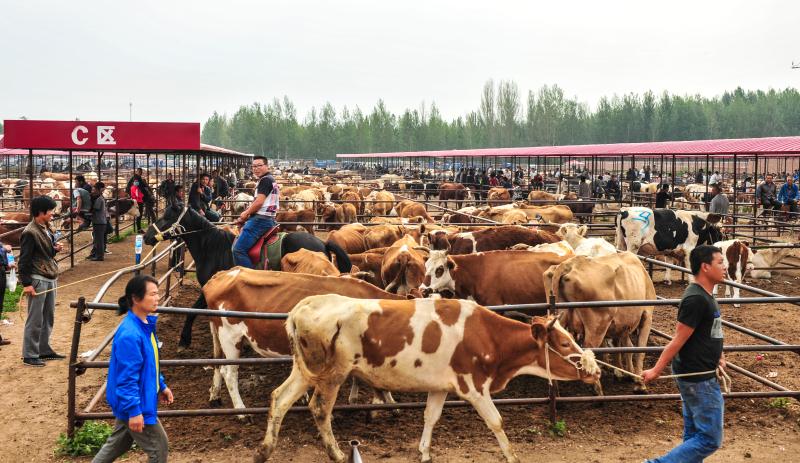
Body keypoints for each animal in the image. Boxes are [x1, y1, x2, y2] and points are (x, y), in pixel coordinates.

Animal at [143, 203, 354, 348]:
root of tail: (322, 243)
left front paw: (184, 340)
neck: (212, 248)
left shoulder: (210, 288)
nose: (146, 236)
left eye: (166, 216)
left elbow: (192, 312)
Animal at [256, 296, 600, 463]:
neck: (487, 335)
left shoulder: (440, 387)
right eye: (565, 343)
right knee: (319, 409)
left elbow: (430, 417)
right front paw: (512, 456)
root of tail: (302, 307)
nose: (594, 371)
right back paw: (337, 453)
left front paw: (423, 452)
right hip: (332, 374)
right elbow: (496, 421)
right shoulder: (474, 386)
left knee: (280, 398)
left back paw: (264, 450)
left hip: (304, 370)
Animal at [544, 252, 656, 394]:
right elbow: (639, 350)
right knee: (588, 351)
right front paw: (640, 383)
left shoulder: (622, 325)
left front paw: (624, 373)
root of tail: (569, 264)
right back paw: (598, 391)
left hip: (560, 319)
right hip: (598, 325)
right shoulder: (647, 316)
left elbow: (624, 348)